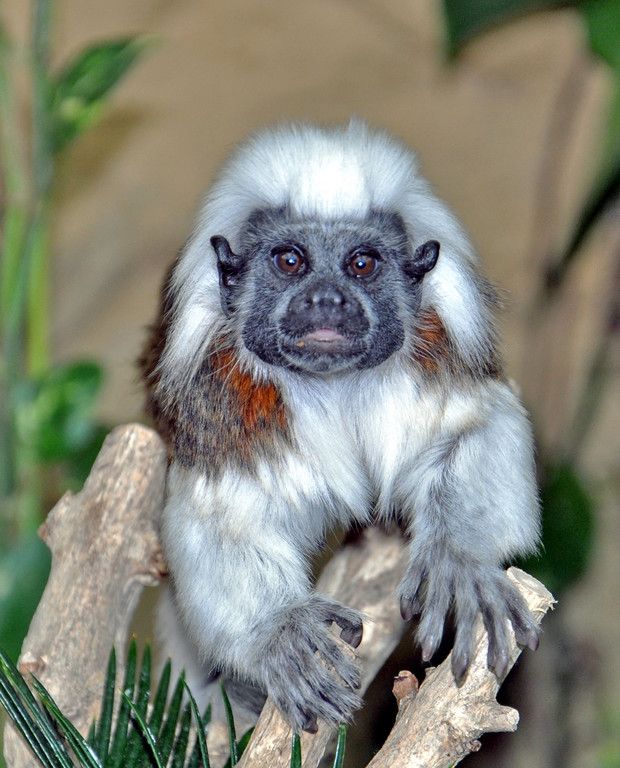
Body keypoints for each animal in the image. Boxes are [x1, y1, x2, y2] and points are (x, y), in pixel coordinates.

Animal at [140, 120, 541, 734]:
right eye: (290, 261)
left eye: (361, 264)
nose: (326, 300)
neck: (333, 385)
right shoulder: (225, 401)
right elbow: (216, 515)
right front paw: (280, 631)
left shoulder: (437, 354)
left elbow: (478, 427)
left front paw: (460, 560)